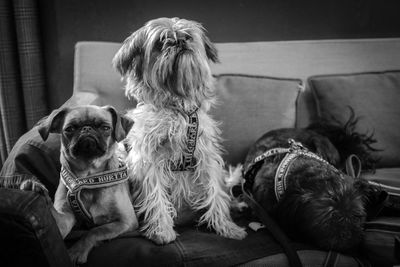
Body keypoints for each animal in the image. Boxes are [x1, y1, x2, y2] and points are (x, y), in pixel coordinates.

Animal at [38, 105, 138, 264]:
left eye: (105, 128)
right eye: (70, 129)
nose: (87, 129)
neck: (88, 178)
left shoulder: (126, 221)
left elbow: (94, 231)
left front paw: (77, 250)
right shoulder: (64, 220)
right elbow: (57, 220)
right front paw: (37, 191)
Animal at [111, 17, 245, 246]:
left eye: (188, 36)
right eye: (161, 42)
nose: (180, 42)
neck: (178, 108)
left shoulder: (207, 159)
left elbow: (216, 193)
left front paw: (227, 227)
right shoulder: (148, 163)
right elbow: (155, 197)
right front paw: (161, 231)